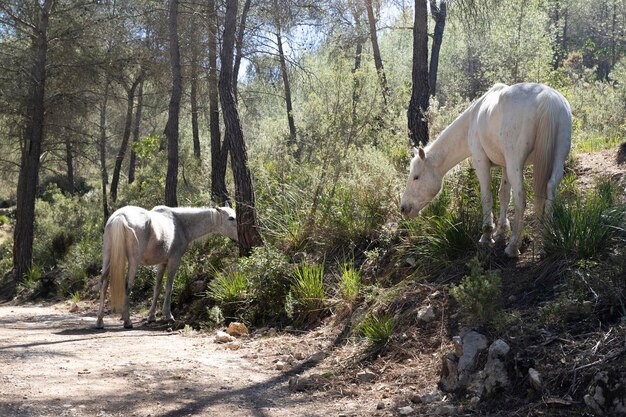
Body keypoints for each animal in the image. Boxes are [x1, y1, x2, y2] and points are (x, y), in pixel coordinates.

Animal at [95, 205, 236, 328]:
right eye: (231, 218)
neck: (180, 224)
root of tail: (120, 217)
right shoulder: (174, 260)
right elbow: (169, 286)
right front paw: (168, 315)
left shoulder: (162, 263)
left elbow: (157, 287)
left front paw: (151, 316)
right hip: (133, 261)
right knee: (127, 286)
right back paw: (127, 321)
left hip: (108, 258)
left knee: (104, 284)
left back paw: (100, 321)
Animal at [400, 82, 572, 256]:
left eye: (416, 177)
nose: (403, 208)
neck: (472, 120)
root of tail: (547, 97)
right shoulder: (504, 166)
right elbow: (504, 195)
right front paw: (501, 231)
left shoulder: (481, 162)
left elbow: (487, 196)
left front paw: (487, 235)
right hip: (555, 160)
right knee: (550, 190)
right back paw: (546, 240)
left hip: (515, 163)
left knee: (520, 197)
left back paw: (513, 247)